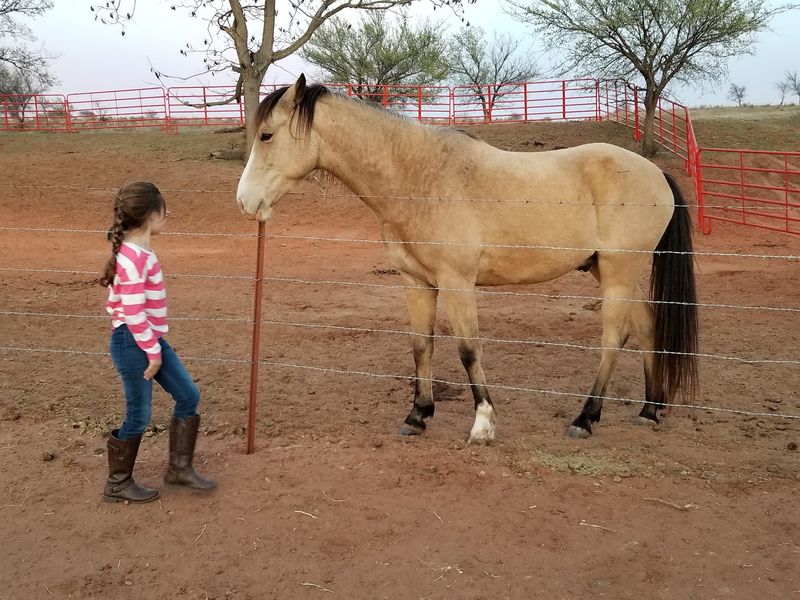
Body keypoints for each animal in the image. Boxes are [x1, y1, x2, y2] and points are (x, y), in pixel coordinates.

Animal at [236, 75, 698, 443]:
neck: (418, 176)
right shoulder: (416, 282)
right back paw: (649, 410)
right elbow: (421, 345)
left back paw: (585, 418)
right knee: (647, 329)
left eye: (267, 136)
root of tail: (656, 173)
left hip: (619, 273)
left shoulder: (457, 283)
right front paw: (418, 415)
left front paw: (483, 423)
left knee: (613, 338)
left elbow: (468, 350)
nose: (245, 202)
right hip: (612, 272)